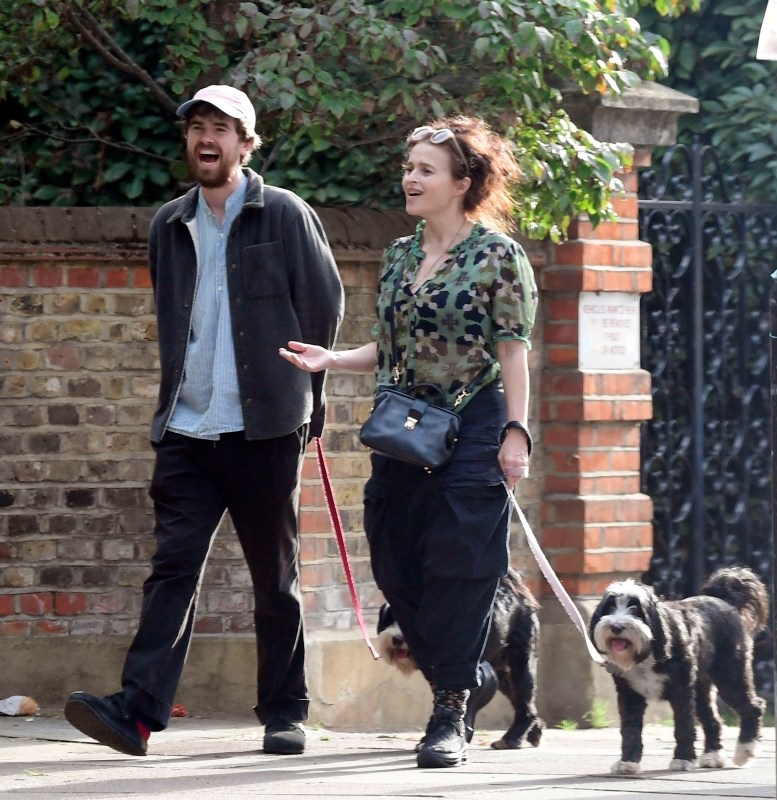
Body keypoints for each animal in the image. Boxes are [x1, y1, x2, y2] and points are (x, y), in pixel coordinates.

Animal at [372, 564, 544, 748]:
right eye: (387, 621)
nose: (397, 639)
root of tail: (517, 595)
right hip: (503, 673)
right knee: (523, 702)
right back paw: (534, 732)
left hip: (521, 660)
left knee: (524, 697)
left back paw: (512, 738)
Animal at [592, 564, 768, 776]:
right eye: (609, 607)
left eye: (636, 609)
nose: (616, 626)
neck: (650, 650)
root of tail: (724, 600)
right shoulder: (629, 695)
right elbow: (630, 730)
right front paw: (628, 762)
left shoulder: (681, 692)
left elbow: (684, 726)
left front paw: (683, 759)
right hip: (701, 687)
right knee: (713, 719)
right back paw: (713, 756)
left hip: (730, 675)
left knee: (753, 707)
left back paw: (745, 751)